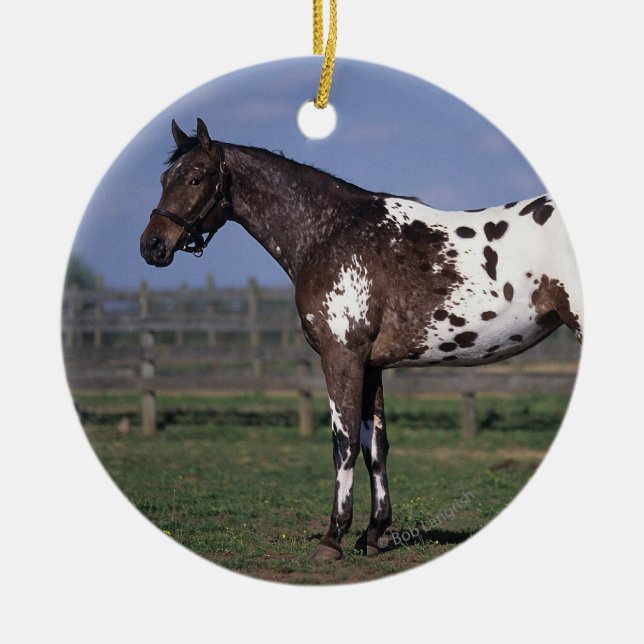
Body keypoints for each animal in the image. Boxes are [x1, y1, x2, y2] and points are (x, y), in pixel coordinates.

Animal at [140, 118, 583, 560]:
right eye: (163, 178)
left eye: (196, 177)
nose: (152, 245)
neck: (330, 233)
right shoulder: (370, 365)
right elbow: (376, 447)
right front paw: (372, 533)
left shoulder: (342, 356)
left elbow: (345, 443)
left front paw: (332, 538)